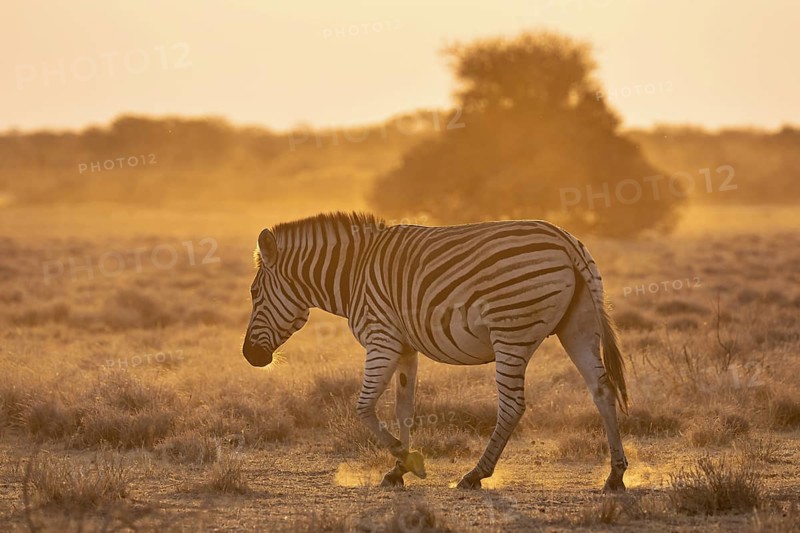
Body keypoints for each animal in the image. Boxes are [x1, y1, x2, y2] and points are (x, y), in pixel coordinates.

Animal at [243, 212, 628, 490]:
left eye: (253, 293)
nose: (249, 356)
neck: (352, 275)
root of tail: (565, 241)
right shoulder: (404, 347)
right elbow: (404, 409)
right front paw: (397, 470)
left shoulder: (381, 338)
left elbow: (363, 407)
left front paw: (410, 461)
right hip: (577, 326)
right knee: (602, 389)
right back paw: (615, 475)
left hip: (511, 332)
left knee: (512, 405)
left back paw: (475, 475)